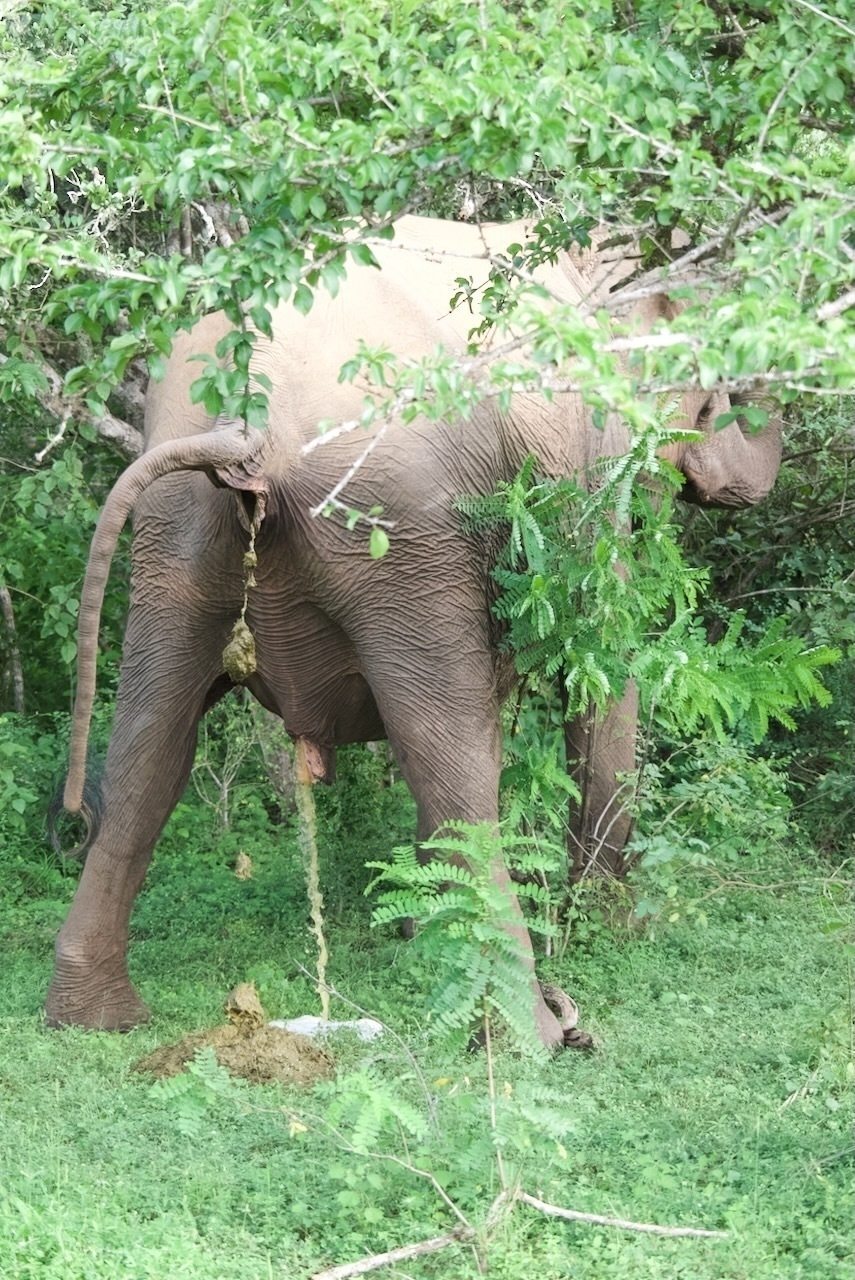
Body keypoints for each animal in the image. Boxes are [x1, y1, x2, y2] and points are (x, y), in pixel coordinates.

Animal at [46, 212, 783, 1049]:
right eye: (725, 391)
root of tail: (252, 425)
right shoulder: (588, 478)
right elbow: (597, 670)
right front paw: (605, 935)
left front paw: (419, 930)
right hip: (397, 526)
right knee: (447, 752)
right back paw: (535, 1034)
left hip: (175, 532)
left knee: (150, 745)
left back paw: (96, 1022)